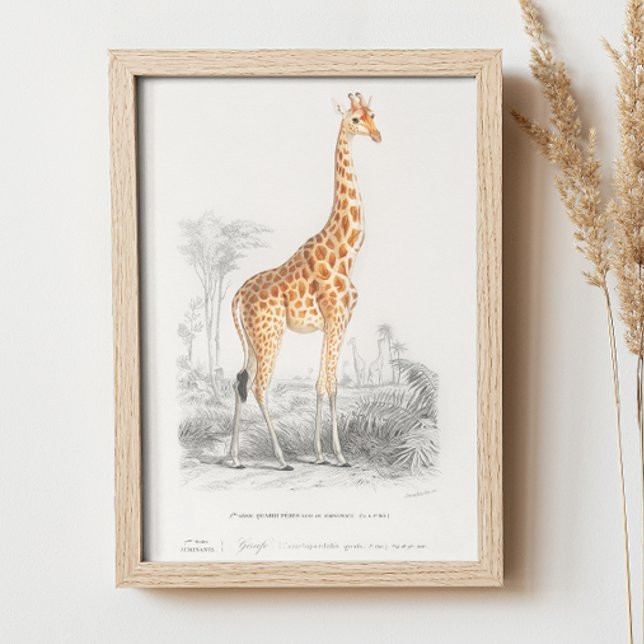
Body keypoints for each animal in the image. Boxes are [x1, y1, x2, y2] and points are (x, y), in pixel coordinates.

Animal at [228, 92, 381, 470]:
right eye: (354, 119)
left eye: (372, 114)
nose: (377, 136)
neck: (347, 251)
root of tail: (236, 296)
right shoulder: (337, 318)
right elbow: (333, 384)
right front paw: (339, 455)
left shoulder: (333, 324)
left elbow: (320, 383)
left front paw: (320, 453)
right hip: (270, 335)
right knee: (259, 386)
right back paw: (281, 459)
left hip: (253, 339)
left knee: (239, 381)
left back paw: (234, 458)